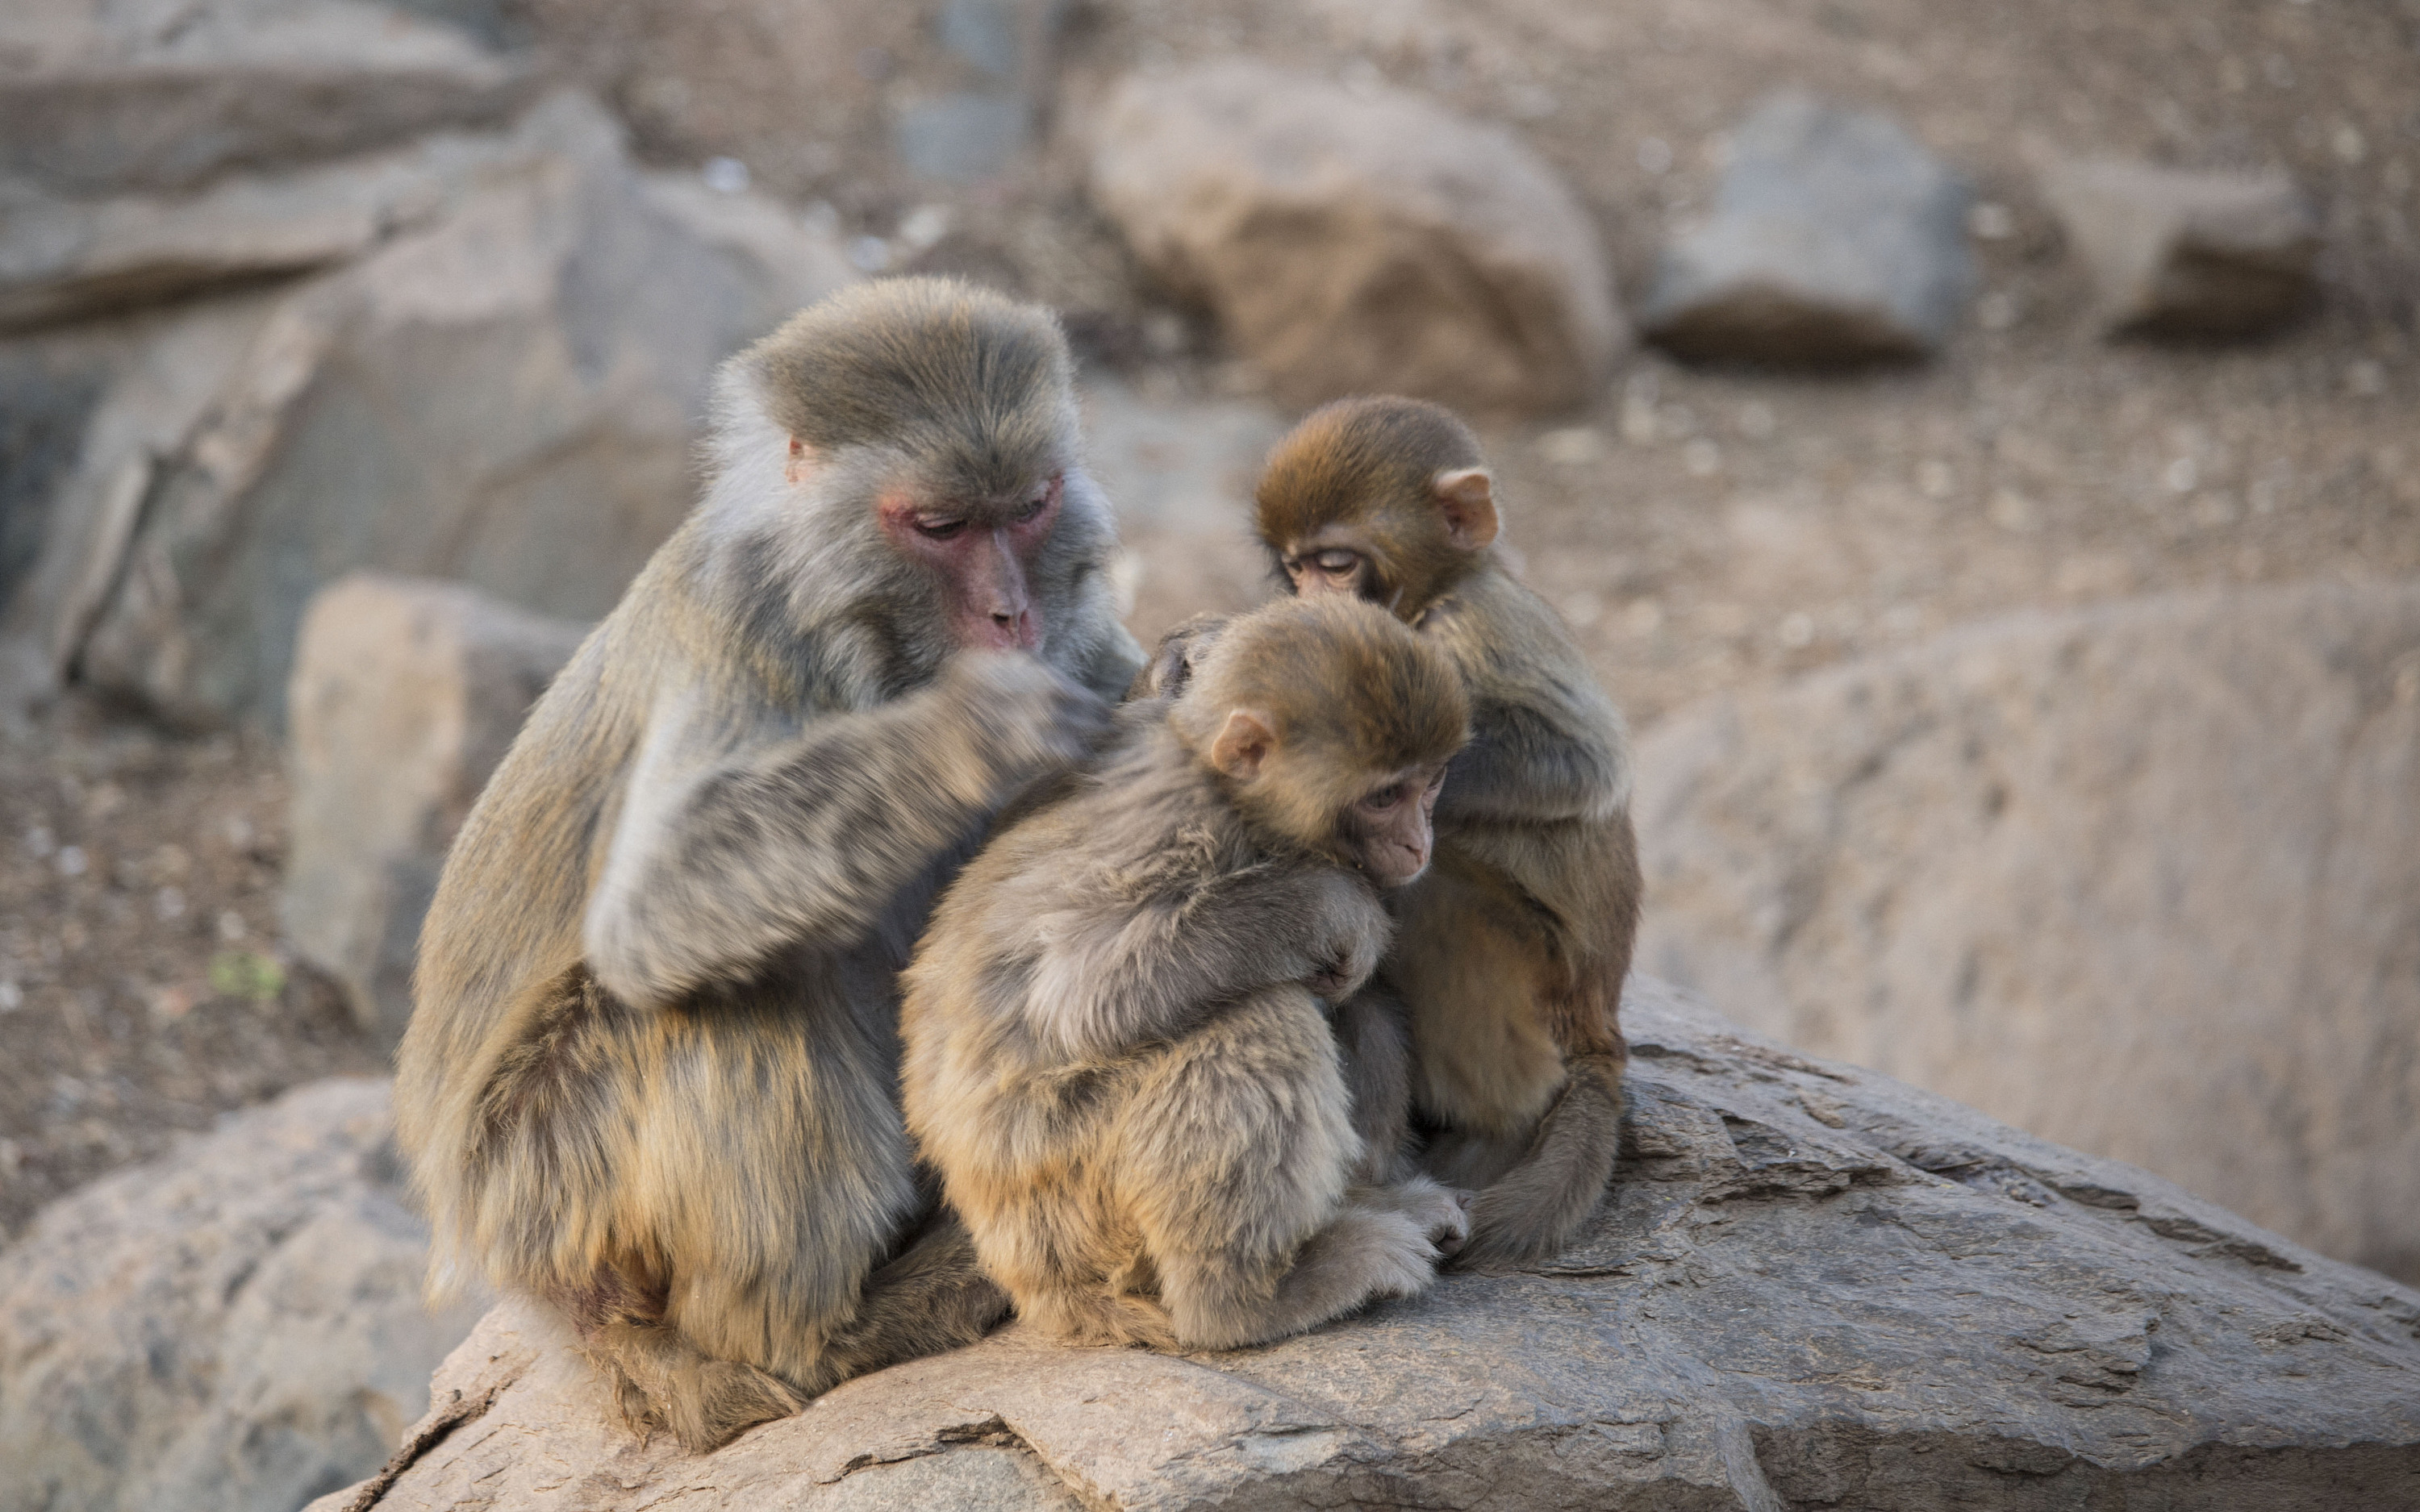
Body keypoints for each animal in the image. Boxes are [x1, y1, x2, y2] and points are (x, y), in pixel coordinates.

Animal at [393, 277, 1146, 1453]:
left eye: (1029, 504)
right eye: (940, 525)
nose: (1011, 613)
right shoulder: (742, 620)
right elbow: (656, 909)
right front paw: (983, 732)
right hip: (549, 1198)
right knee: (744, 988)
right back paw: (820, 1333)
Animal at [900, 595, 1476, 1351]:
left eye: (1429, 782)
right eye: (1384, 797)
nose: (1418, 842)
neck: (1230, 791)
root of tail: (1040, 1290)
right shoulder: (1177, 825)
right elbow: (1082, 993)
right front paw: (1333, 907)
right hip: (1074, 1203)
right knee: (1254, 1015)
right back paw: (1252, 1299)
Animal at [1253, 395, 1641, 1268]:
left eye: (1336, 564)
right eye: (1295, 568)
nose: (1313, 602)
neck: (1439, 593)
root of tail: (1602, 1018)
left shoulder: (1474, 629)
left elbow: (1580, 762)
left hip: (1535, 985)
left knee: (1425, 896)